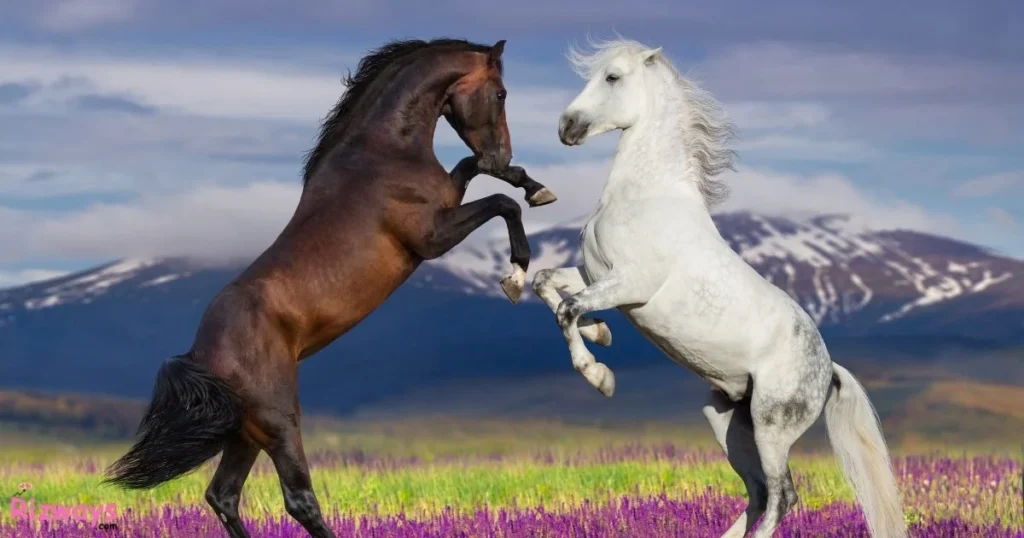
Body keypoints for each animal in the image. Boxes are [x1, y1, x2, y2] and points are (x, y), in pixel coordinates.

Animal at [103, 38, 557, 538]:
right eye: (501, 93)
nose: (503, 153)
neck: (383, 152)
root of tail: (202, 353)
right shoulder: (431, 236)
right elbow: (502, 203)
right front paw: (515, 274)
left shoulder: (448, 199)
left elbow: (473, 168)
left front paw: (535, 186)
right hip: (279, 422)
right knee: (298, 500)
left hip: (246, 433)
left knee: (223, 495)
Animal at [532, 38, 907, 538]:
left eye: (612, 77)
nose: (566, 127)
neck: (646, 195)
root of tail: (828, 370)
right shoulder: (597, 274)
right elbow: (547, 284)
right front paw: (602, 333)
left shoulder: (630, 284)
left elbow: (567, 308)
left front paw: (600, 376)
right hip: (726, 419)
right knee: (759, 492)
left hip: (771, 426)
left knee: (783, 495)